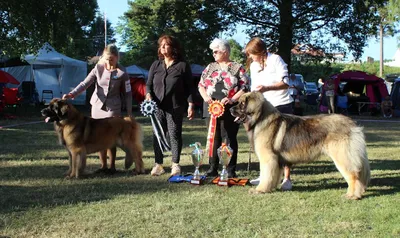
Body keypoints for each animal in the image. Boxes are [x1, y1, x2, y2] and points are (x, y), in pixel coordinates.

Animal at [231, 92, 372, 200]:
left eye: (242, 104)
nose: (230, 109)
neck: (260, 118)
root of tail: (352, 125)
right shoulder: (277, 161)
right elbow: (273, 176)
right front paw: (270, 188)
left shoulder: (268, 158)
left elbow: (266, 175)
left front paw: (260, 190)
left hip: (342, 157)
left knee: (354, 176)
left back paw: (352, 195)